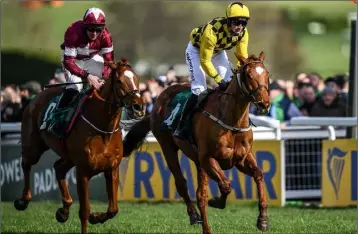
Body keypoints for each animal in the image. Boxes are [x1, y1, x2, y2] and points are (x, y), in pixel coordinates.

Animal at [13, 57, 145, 233]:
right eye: (119, 81)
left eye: (137, 78)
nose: (139, 106)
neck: (103, 129)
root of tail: (36, 97)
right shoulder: (82, 171)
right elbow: (84, 211)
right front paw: (90, 217)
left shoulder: (112, 169)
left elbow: (113, 209)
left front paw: (95, 217)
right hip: (33, 146)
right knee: (26, 164)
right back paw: (23, 200)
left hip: (68, 157)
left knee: (58, 168)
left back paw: (63, 211)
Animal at [123, 52, 272, 233]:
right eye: (249, 75)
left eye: (267, 74)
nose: (264, 104)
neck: (231, 120)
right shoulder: (208, 159)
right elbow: (225, 185)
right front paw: (217, 201)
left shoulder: (241, 158)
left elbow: (259, 175)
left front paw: (263, 219)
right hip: (168, 147)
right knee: (182, 183)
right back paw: (195, 216)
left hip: (196, 160)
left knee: (200, 190)